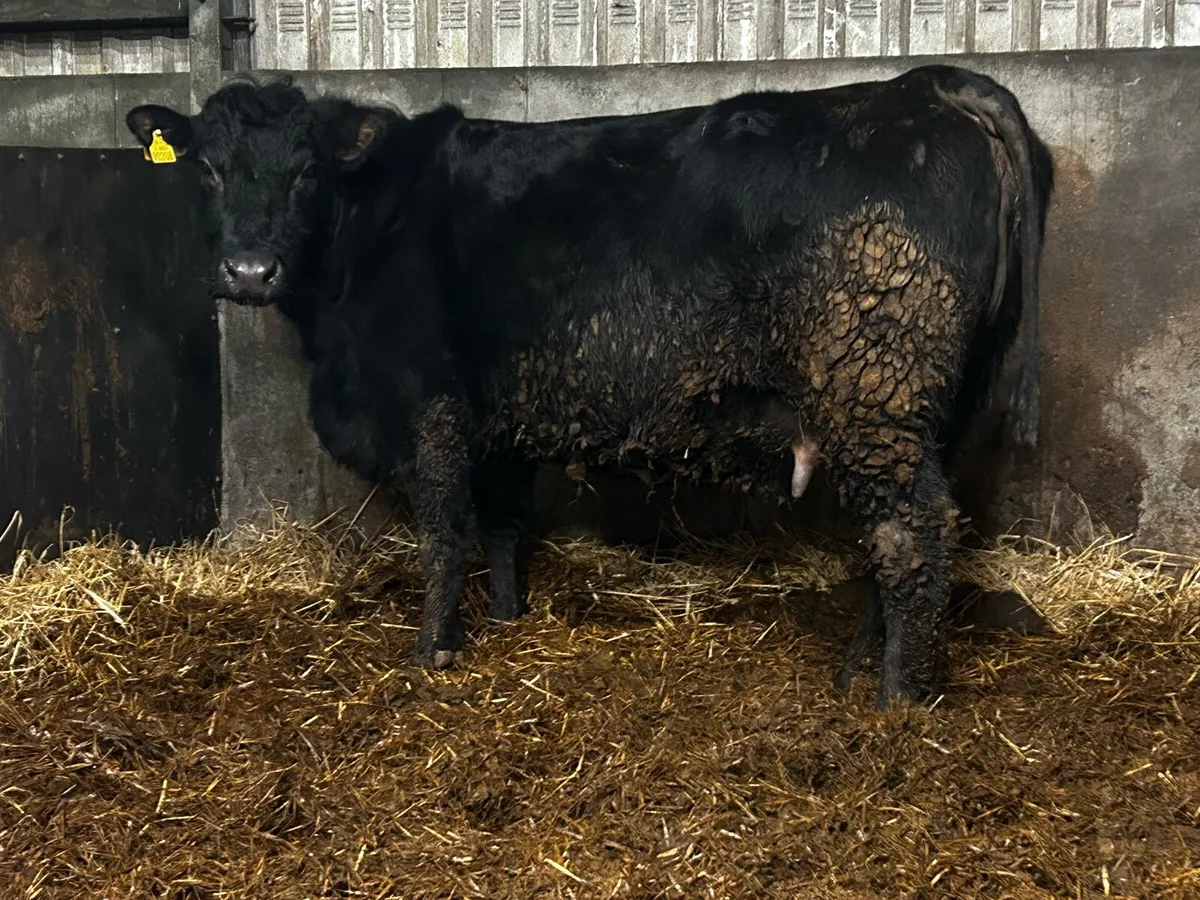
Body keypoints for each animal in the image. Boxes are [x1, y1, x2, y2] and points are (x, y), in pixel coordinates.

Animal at [126, 65, 1053, 709]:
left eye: (306, 172)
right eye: (207, 170)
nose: (249, 270)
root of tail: (922, 86)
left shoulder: (432, 402)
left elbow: (445, 529)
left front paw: (435, 649)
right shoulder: (498, 413)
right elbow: (502, 521)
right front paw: (506, 618)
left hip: (874, 385)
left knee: (908, 531)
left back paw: (897, 698)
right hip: (925, 402)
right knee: (904, 529)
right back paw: (863, 666)